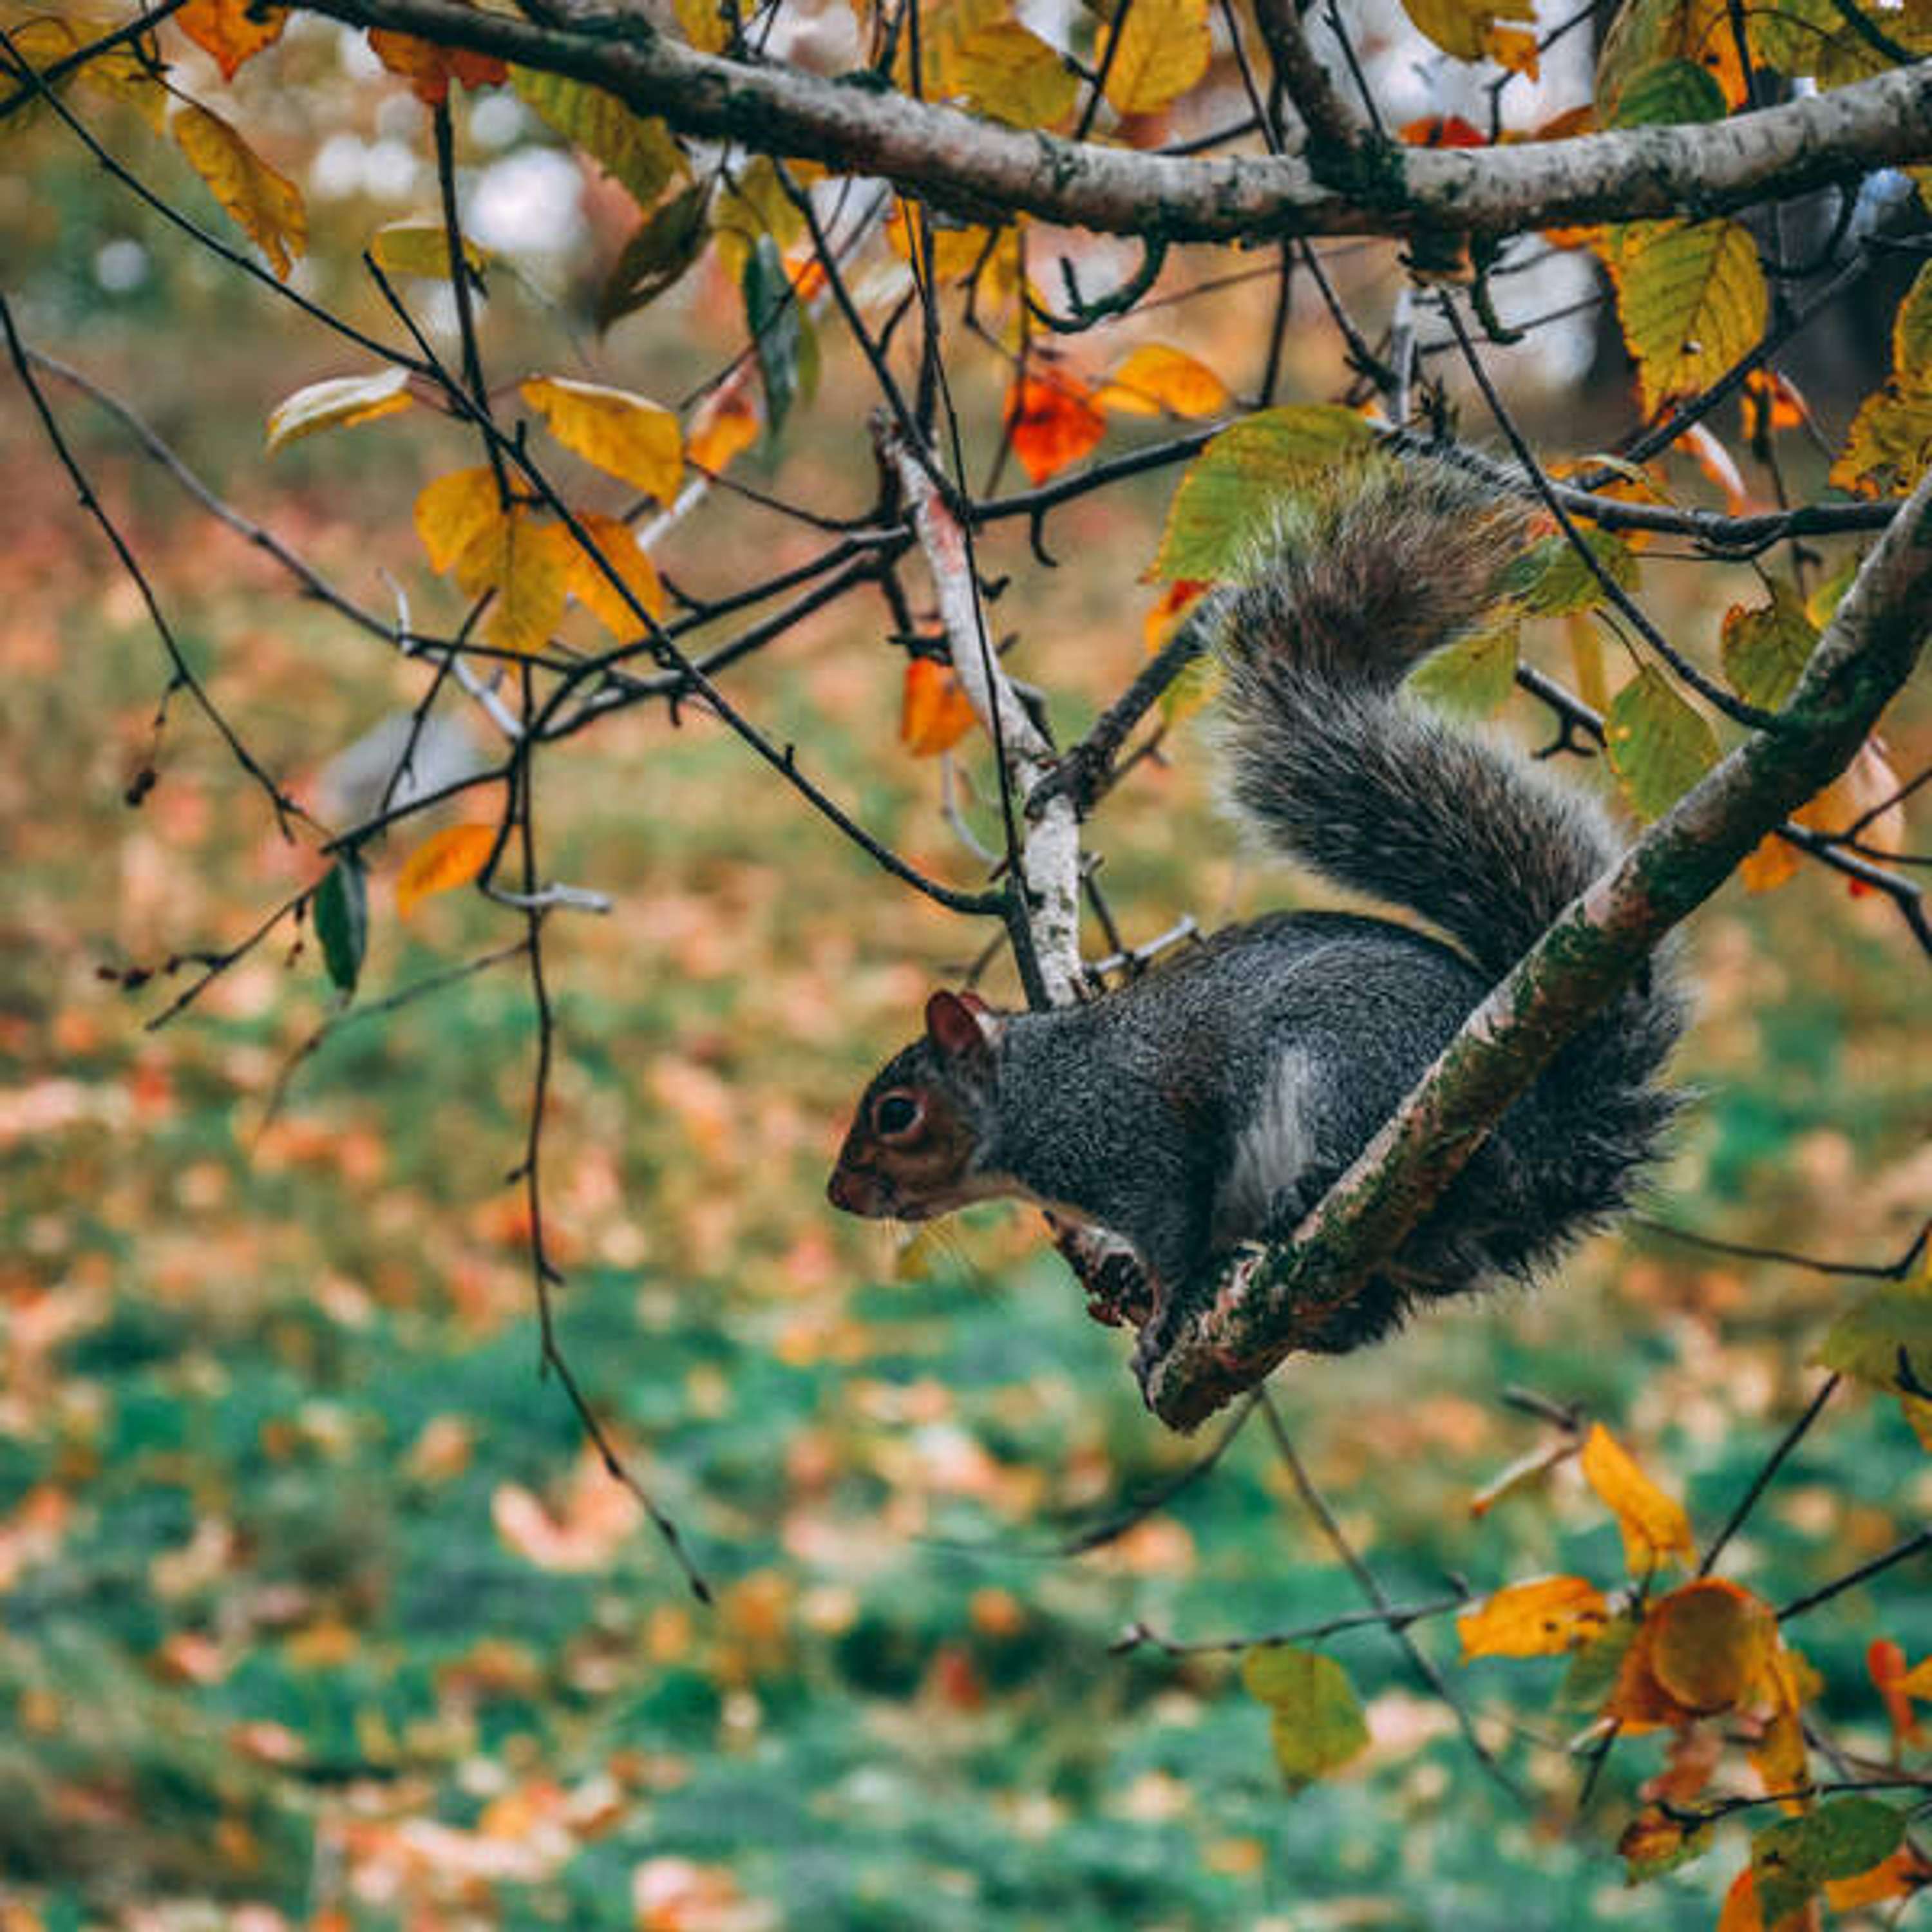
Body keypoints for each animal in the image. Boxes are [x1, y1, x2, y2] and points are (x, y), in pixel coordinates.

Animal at [823, 452, 1685, 1360]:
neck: (1039, 1090)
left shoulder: (1140, 1145)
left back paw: (1307, 1195)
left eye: (896, 1113)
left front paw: (1160, 1314)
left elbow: (1172, 1232)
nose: (840, 1193)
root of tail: (1547, 1142)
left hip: (1353, 1065)